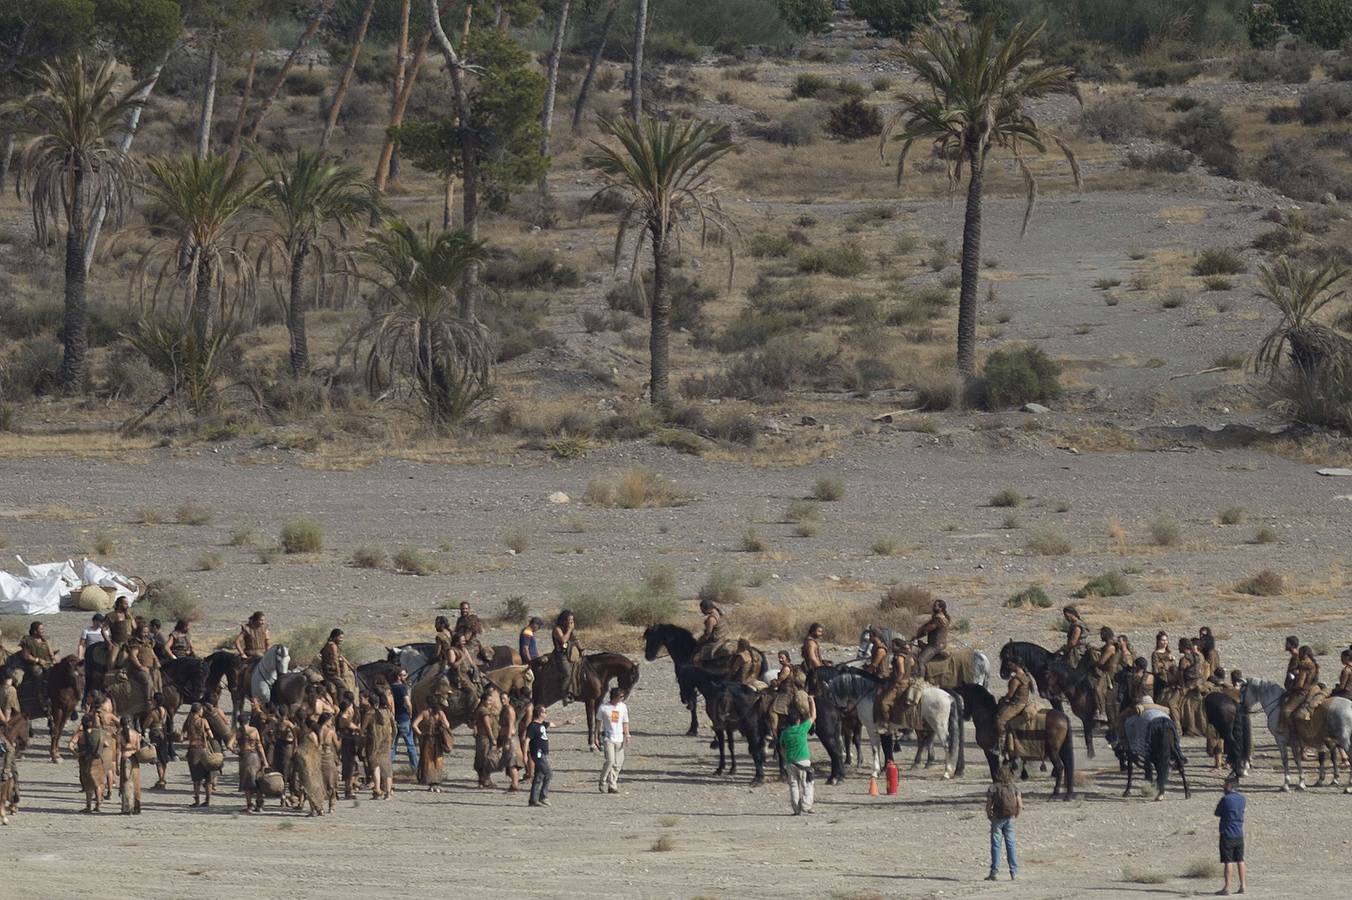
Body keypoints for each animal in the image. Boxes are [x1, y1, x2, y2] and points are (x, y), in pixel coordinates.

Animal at [811, 664, 962, 778]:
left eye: (828, 695)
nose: (837, 712)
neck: (866, 693)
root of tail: (948, 696)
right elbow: (885, 747)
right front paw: (884, 769)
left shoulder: (871, 728)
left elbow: (875, 748)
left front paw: (875, 772)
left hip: (939, 726)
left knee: (947, 744)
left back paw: (946, 773)